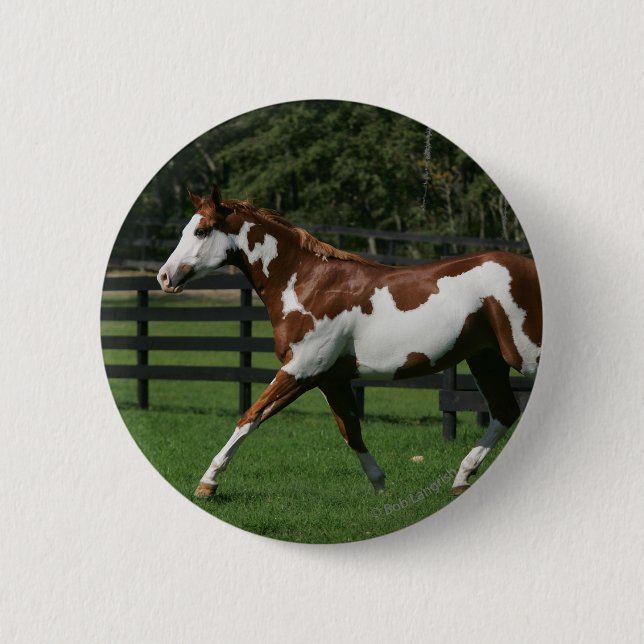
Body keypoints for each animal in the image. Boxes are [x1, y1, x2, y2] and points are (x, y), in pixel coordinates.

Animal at [157, 185, 542, 497]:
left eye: (201, 230)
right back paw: (462, 477)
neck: (306, 284)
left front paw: (208, 483)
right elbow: (351, 431)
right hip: (486, 359)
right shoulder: (329, 378)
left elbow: (250, 416)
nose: (164, 276)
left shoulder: (300, 370)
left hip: (524, 356)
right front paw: (381, 487)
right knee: (505, 411)